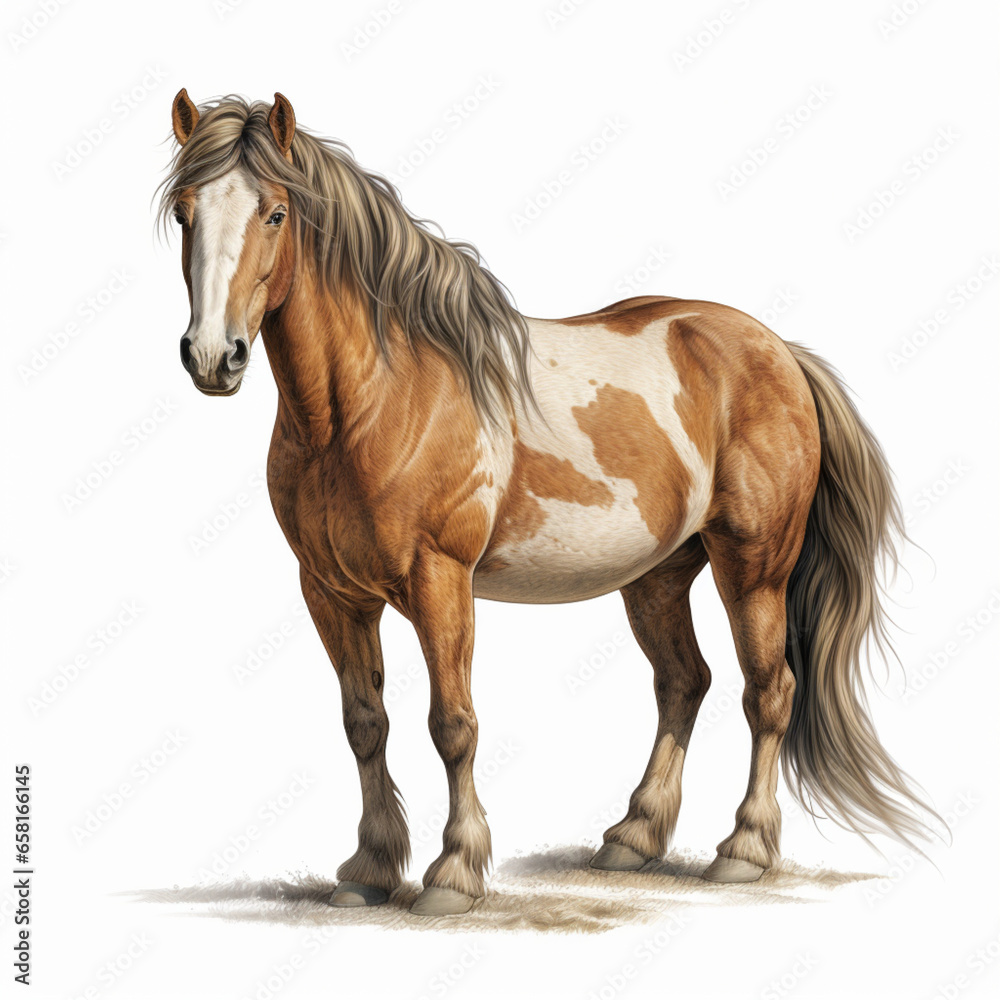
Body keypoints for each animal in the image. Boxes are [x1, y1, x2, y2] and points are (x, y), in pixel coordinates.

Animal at [158, 90, 939, 916]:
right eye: (184, 212)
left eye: (275, 212)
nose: (212, 357)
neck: (373, 401)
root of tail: (779, 352)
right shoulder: (332, 592)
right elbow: (365, 724)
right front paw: (368, 869)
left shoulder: (441, 582)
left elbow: (453, 724)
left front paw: (453, 873)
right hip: (658, 577)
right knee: (684, 683)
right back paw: (632, 838)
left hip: (754, 568)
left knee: (769, 693)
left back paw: (744, 851)